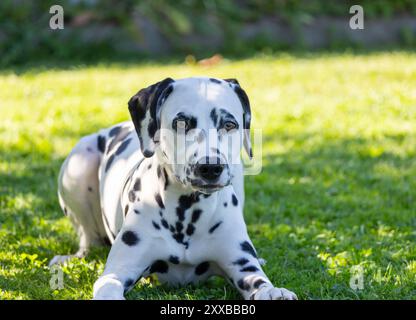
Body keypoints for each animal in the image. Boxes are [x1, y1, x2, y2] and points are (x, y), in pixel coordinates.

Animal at [50, 77, 298, 300]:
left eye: (229, 124)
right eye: (182, 123)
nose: (210, 167)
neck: (186, 213)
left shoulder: (243, 267)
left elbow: (262, 283)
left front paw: (274, 291)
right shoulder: (117, 271)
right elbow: (108, 286)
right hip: (79, 164)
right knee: (87, 240)